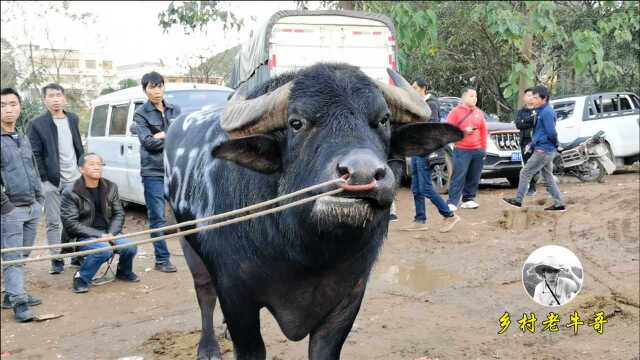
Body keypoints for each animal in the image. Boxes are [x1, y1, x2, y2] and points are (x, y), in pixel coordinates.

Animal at [164, 63, 460, 358]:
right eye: (296, 123)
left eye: (384, 119)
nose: (362, 174)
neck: (307, 253)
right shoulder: (236, 296)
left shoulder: (349, 295)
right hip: (187, 243)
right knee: (204, 292)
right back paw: (208, 347)